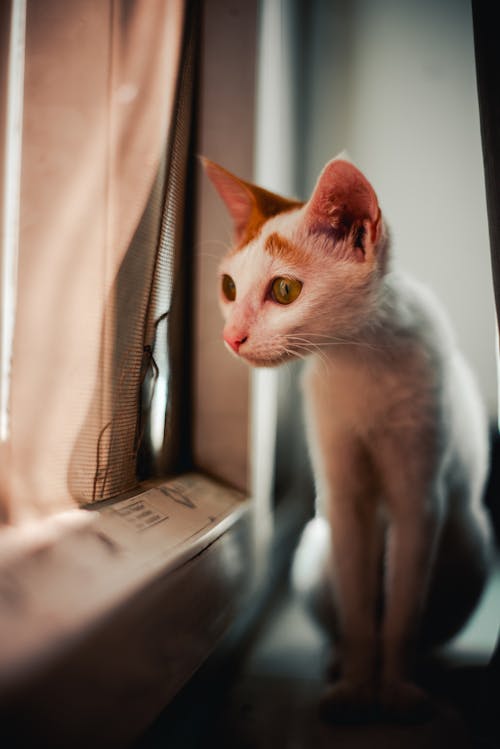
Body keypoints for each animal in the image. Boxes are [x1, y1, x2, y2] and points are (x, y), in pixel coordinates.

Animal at [202, 155, 492, 720]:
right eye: (228, 287)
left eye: (285, 290)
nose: (230, 337)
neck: (361, 359)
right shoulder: (342, 494)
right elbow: (358, 605)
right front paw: (358, 687)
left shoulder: (420, 496)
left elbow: (402, 609)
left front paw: (395, 689)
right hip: (316, 552)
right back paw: (339, 661)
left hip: (471, 543)